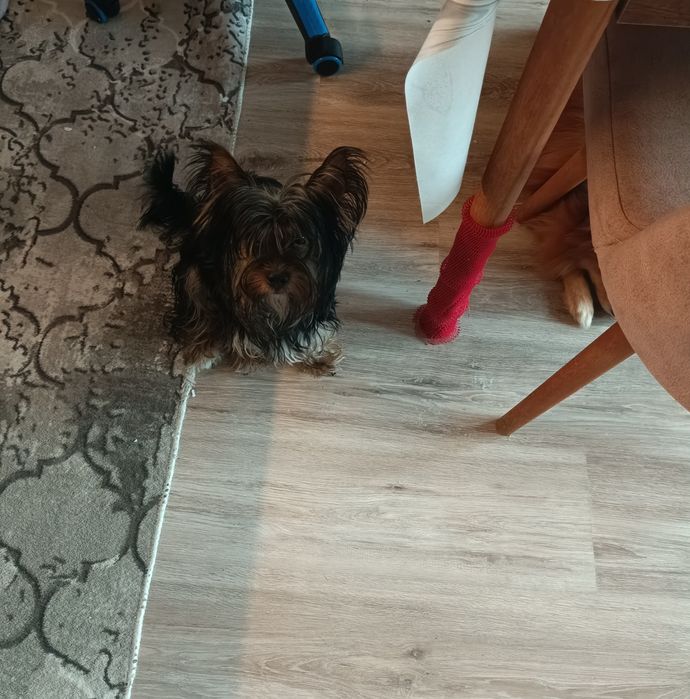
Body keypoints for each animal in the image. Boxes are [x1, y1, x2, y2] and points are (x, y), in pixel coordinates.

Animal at [139, 142, 368, 374]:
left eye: (300, 240)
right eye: (254, 240)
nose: (277, 278)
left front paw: (317, 355)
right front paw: (239, 355)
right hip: (194, 268)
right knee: (198, 306)